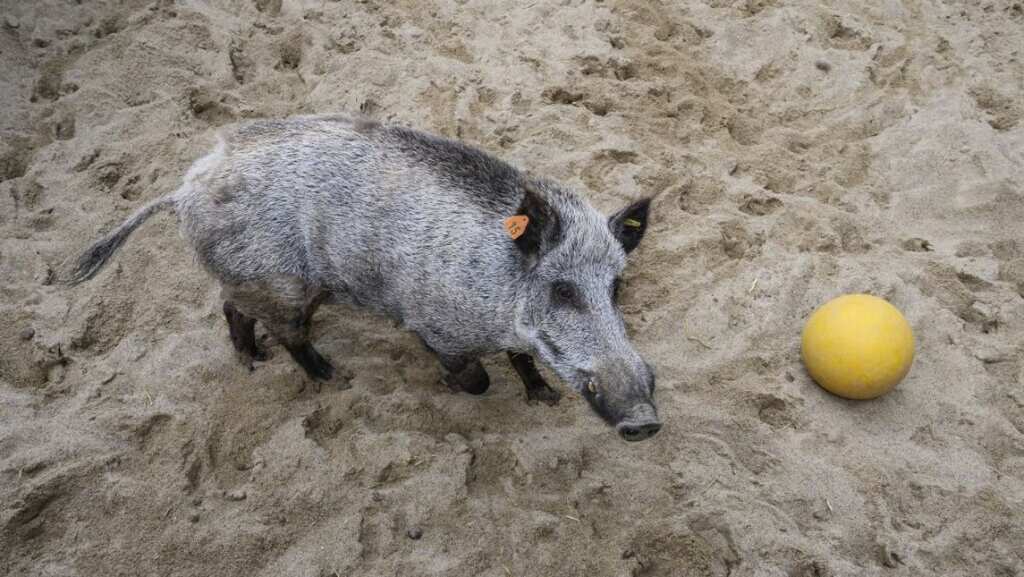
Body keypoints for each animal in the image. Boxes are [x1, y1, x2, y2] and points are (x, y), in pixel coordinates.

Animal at [64, 114, 661, 441]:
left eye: (616, 287)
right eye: (561, 288)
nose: (645, 422)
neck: (498, 286)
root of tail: (184, 189)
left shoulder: (513, 335)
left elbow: (523, 361)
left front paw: (545, 400)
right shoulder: (437, 328)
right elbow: (477, 378)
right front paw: (457, 389)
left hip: (271, 281)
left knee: (235, 309)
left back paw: (253, 362)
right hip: (279, 281)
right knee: (287, 332)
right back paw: (331, 377)